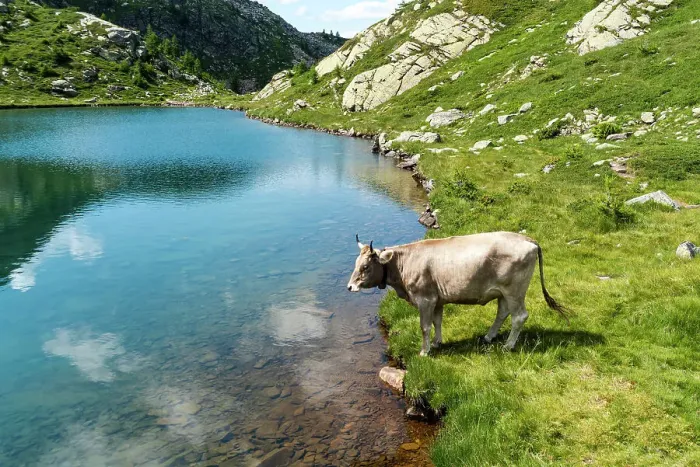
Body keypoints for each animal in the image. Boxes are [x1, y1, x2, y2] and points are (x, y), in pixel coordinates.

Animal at [347, 232, 569, 356]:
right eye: (356, 263)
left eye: (366, 267)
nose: (349, 287)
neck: (404, 264)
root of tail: (528, 239)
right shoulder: (437, 299)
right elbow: (437, 322)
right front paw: (437, 343)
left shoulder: (425, 299)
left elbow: (425, 327)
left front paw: (424, 351)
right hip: (504, 292)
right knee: (503, 313)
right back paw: (489, 337)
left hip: (515, 291)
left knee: (519, 316)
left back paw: (508, 346)